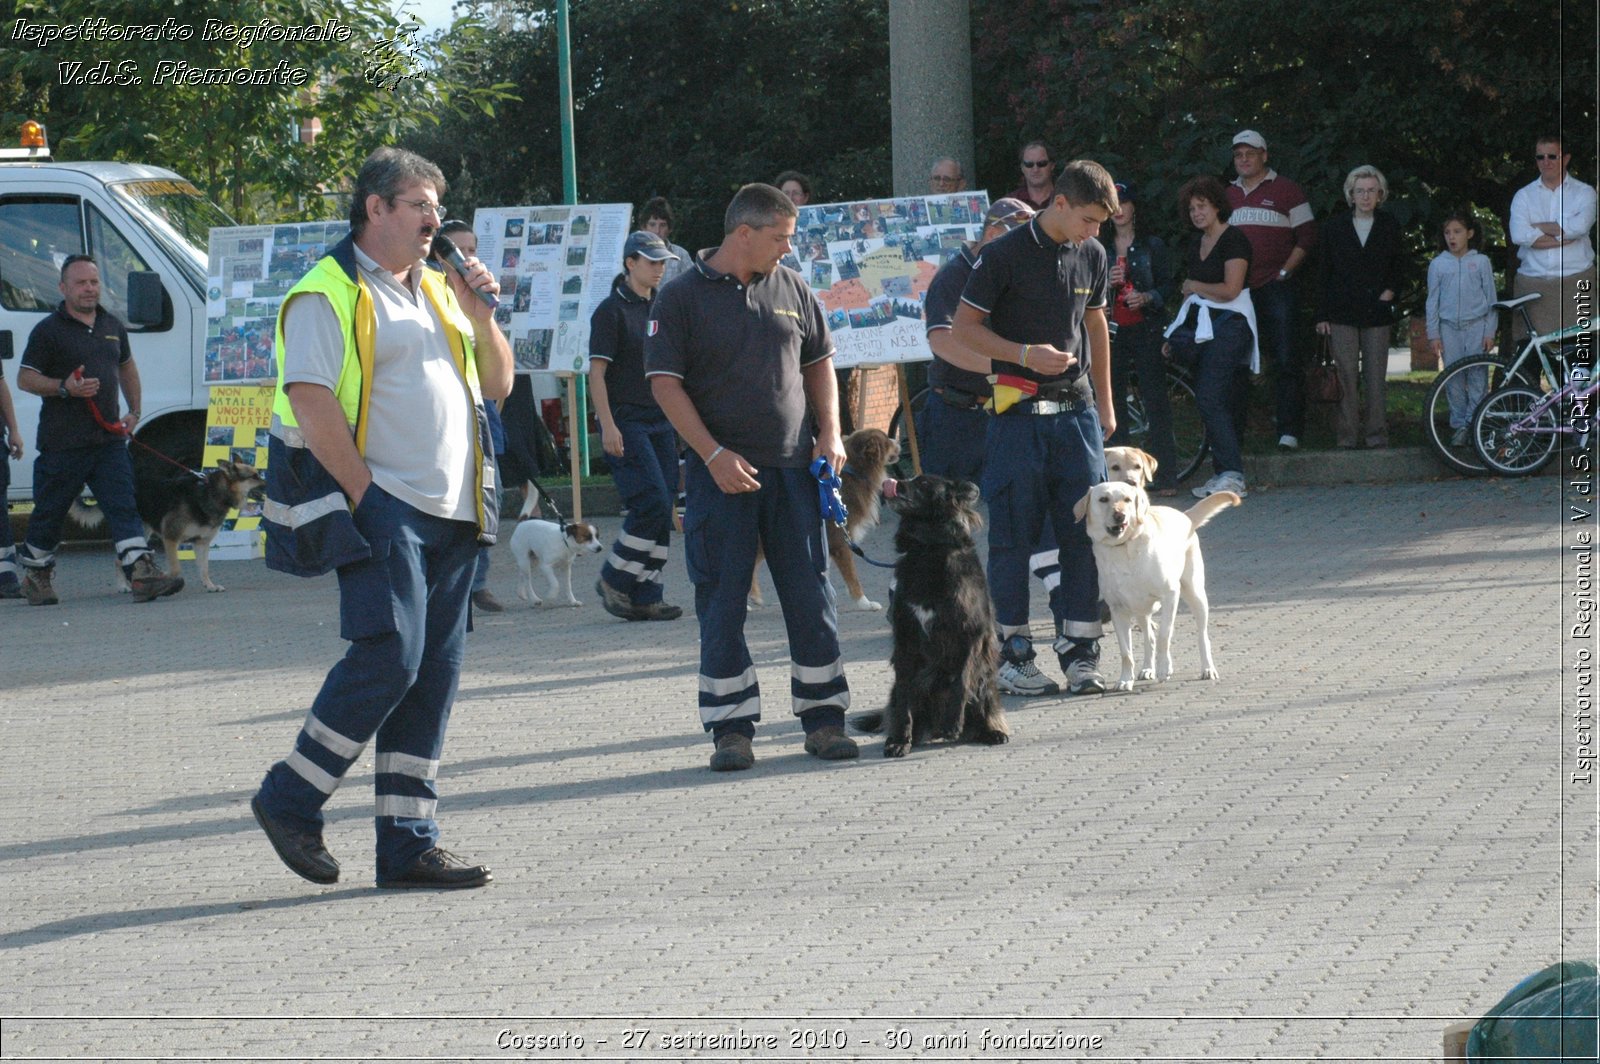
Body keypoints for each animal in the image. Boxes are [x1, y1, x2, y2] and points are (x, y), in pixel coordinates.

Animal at [748, 422, 902, 604]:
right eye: (887, 441)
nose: (899, 443)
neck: (855, 471)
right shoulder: (840, 540)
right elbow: (852, 577)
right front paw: (864, 602)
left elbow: (825, 573)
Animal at [857, 473, 1004, 755]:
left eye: (924, 484)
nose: (893, 482)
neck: (929, 550)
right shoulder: (905, 639)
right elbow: (905, 695)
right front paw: (899, 740)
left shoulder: (972, 633)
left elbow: (961, 679)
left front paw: (953, 723)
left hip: (986, 677)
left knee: (985, 702)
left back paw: (989, 731)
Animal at [1075, 480, 1235, 688]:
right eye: (1103, 499)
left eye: (1127, 499)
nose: (1120, 515)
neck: (1123, 548)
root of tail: (1185, 516)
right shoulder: (1118, 610)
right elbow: (1126, 652)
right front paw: (1125, 679)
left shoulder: (1170, 595)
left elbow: (1164, 636)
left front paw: (1164, 668)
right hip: (1140, 609)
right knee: (1148, 638)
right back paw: (1147, 669)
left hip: (1195, 595)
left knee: (1202, 635)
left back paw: (1207, 669)